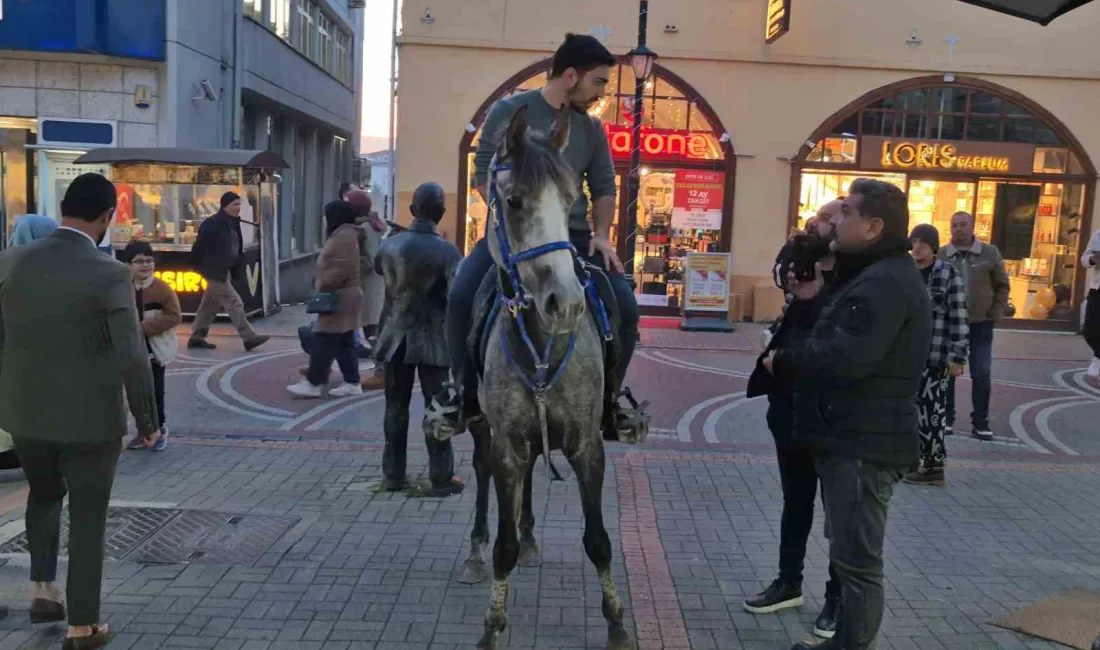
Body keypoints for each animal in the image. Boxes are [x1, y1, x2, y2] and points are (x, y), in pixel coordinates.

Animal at [457, 106, 633, 650]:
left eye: (572, 200)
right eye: (513, 201)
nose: (568, 304)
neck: (541, 342)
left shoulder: (586, 445)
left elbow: (598, 541)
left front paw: (617, 623)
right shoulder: (506, 443)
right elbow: (503, 547)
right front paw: (492, 627)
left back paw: (533, 534)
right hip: (484, 428)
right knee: (481, 473)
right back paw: (474, 550)